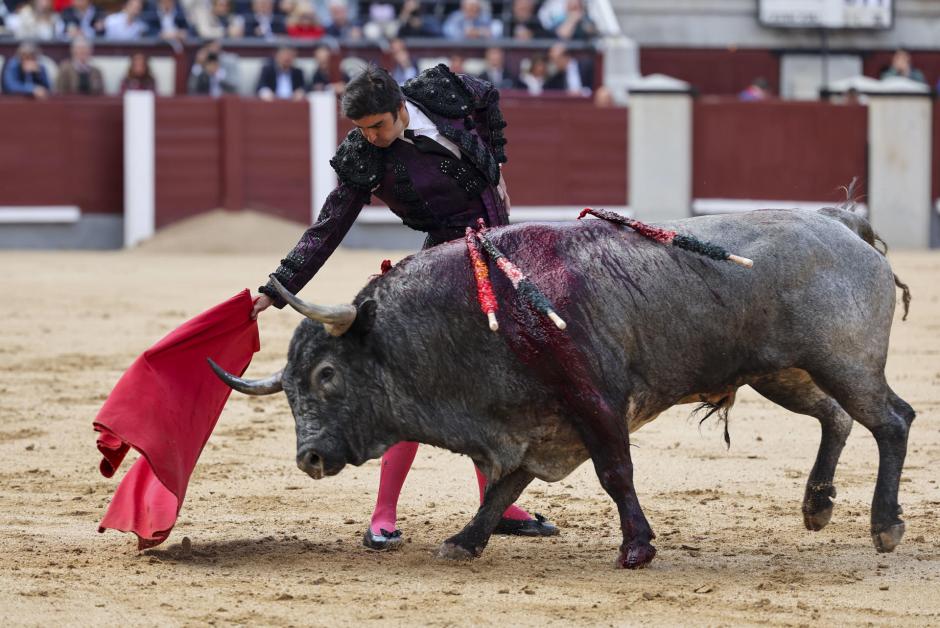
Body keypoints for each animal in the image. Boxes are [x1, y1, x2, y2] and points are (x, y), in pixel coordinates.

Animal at [211, 206, 912, 568]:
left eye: (326, 376)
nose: (308, 457)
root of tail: (841, 222)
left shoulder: (593, 401)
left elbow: (615, 473)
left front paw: (636, 549)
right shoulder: (538, 424)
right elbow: (503, 486)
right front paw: (464, 541)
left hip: (842, 362)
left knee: (892, 420)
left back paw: (884, 526)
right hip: (784, 372)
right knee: (837, 418)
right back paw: (817, 506)